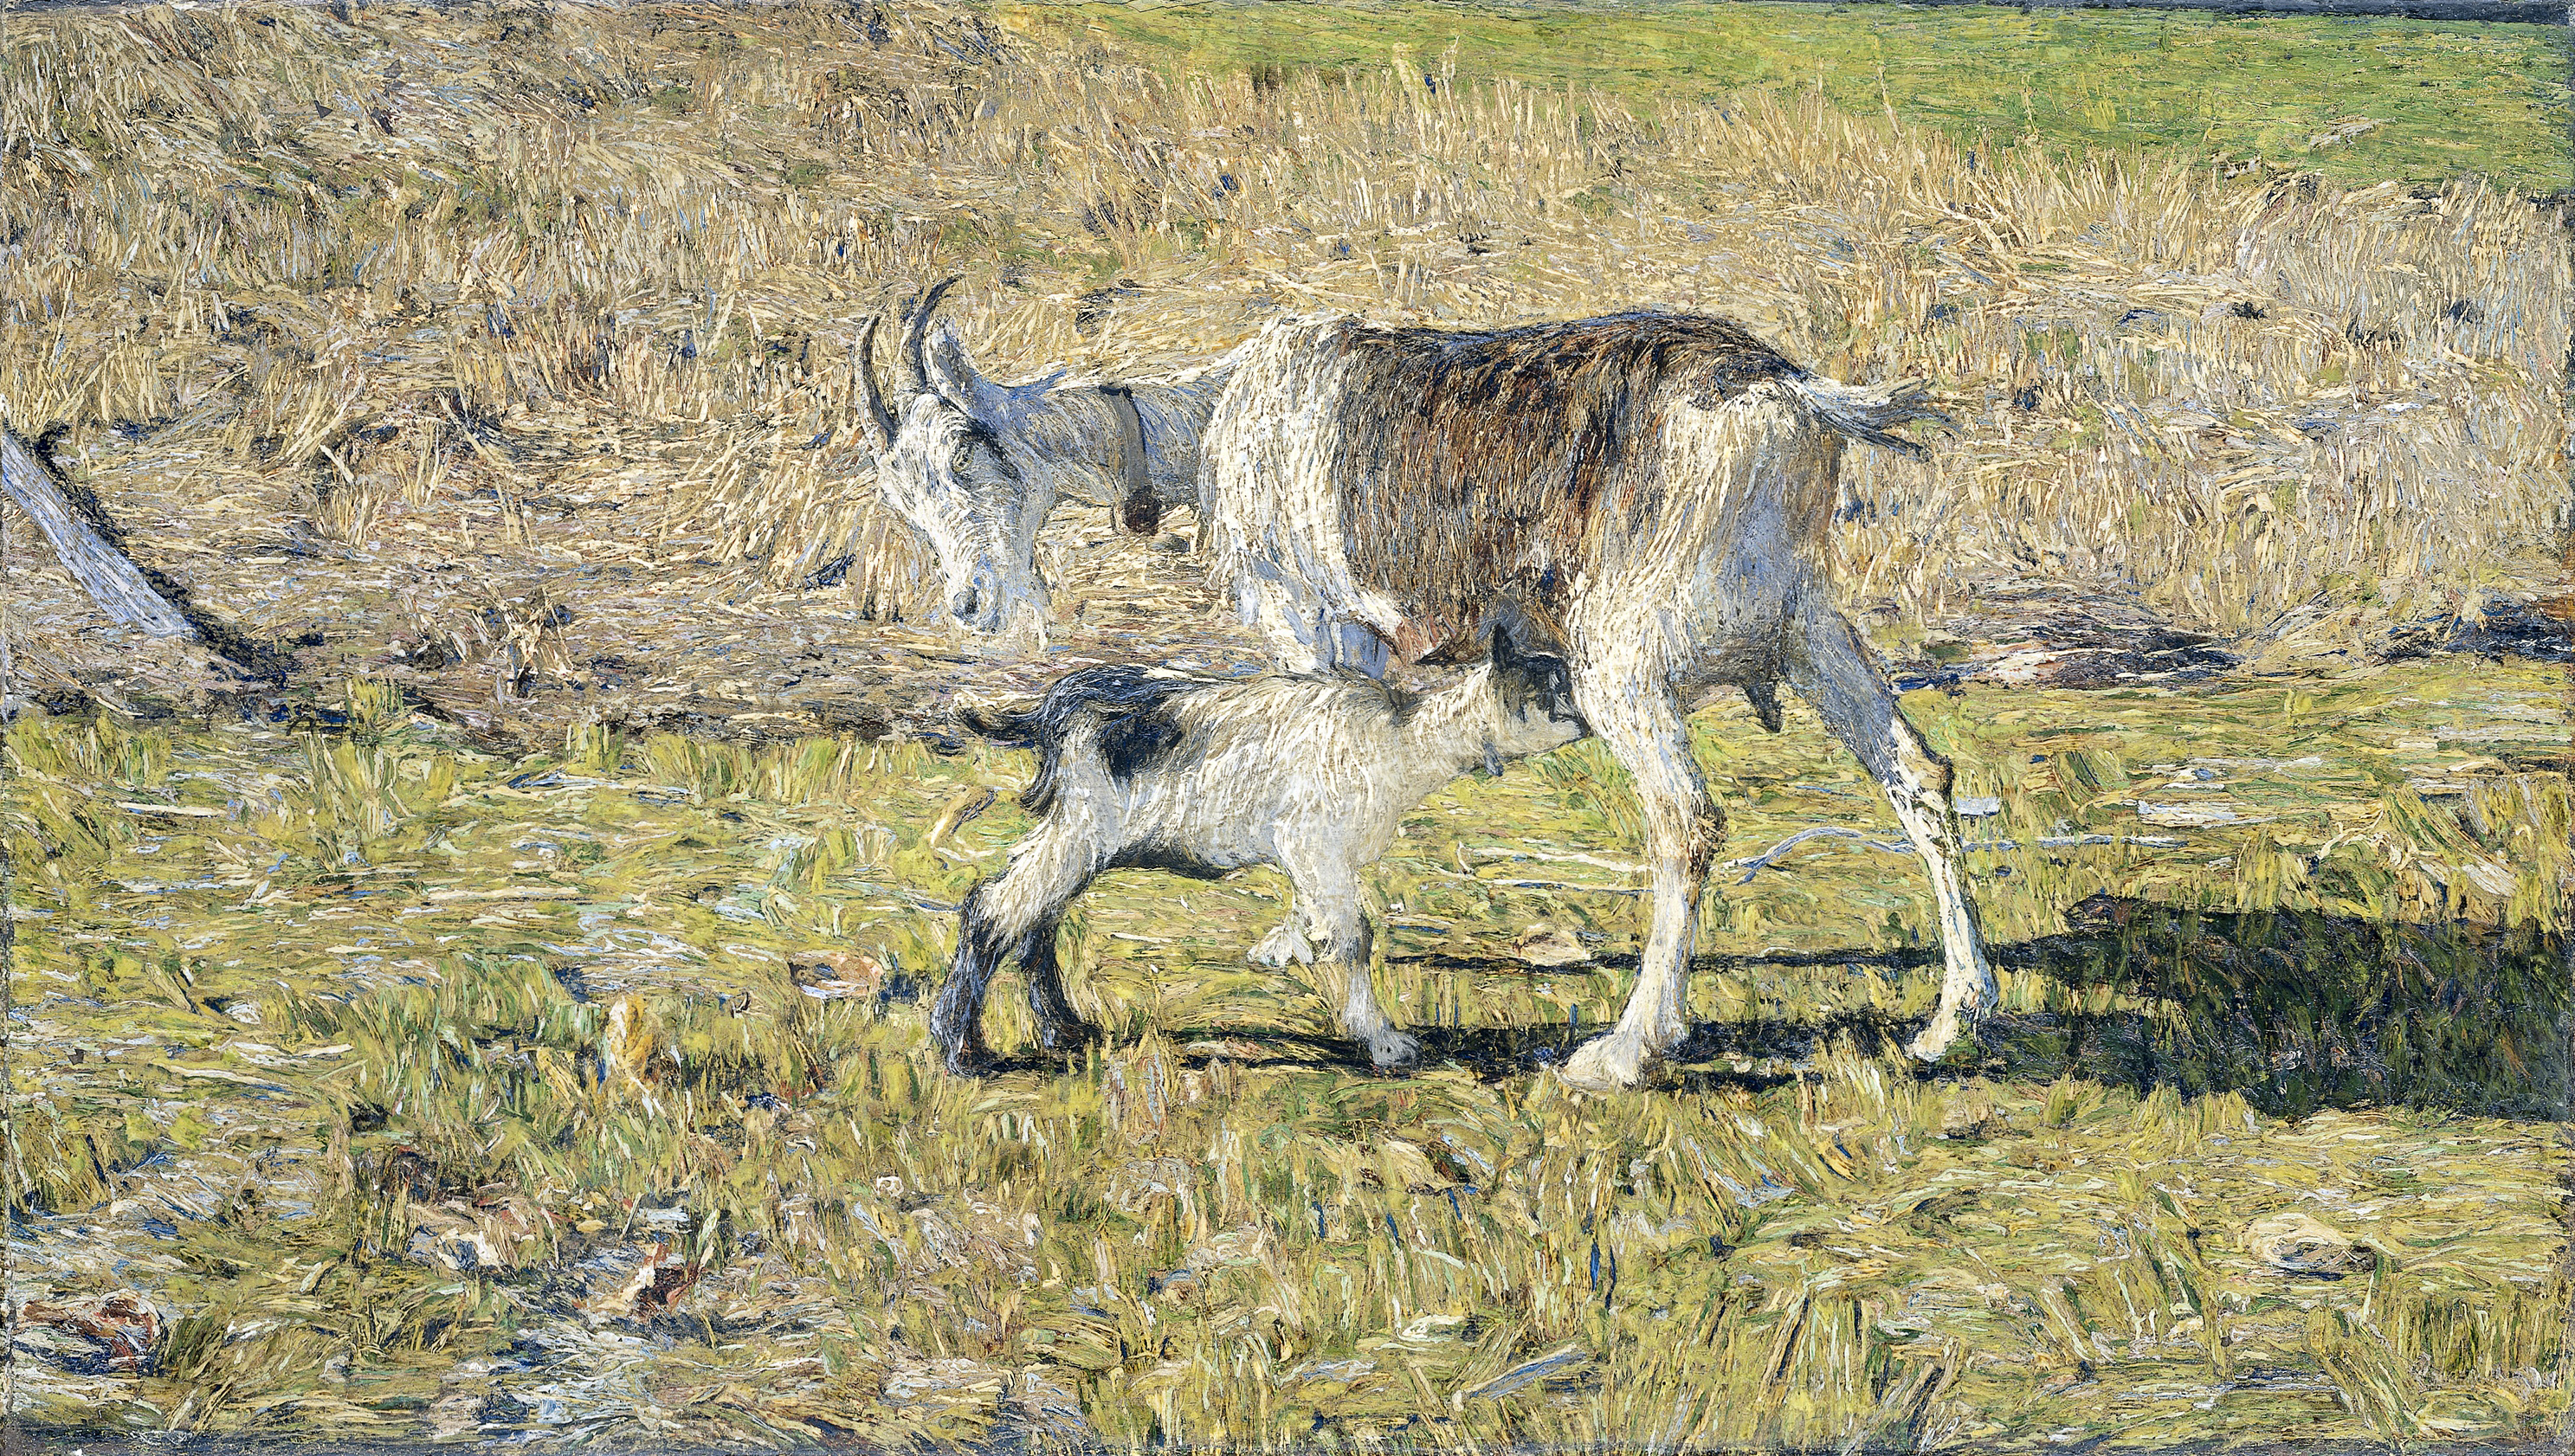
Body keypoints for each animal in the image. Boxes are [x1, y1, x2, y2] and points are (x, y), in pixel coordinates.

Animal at [931, 626, 1589, 1074]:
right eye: (1556, 686)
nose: (1593, 719)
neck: (1402, 741)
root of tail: (1052, 706)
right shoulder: (1313, 840)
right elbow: (1354, 937)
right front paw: (1383, 1042)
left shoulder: (1316, 856)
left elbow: (1316, 917)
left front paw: (1278, 950)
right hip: (1084, 829)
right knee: (995, 912)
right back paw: (963, 1050)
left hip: (1078, 837)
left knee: (1034, 919)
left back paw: (1065, 1032)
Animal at [1200, 309, 1998, 1086]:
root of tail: (1781, 394)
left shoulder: (1310, 628)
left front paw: (1294, 939)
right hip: (1808, 631)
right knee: (1919, 775)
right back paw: (1955, 1019)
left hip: (1622, 669)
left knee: (1689, 823)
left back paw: (1627, 1050)